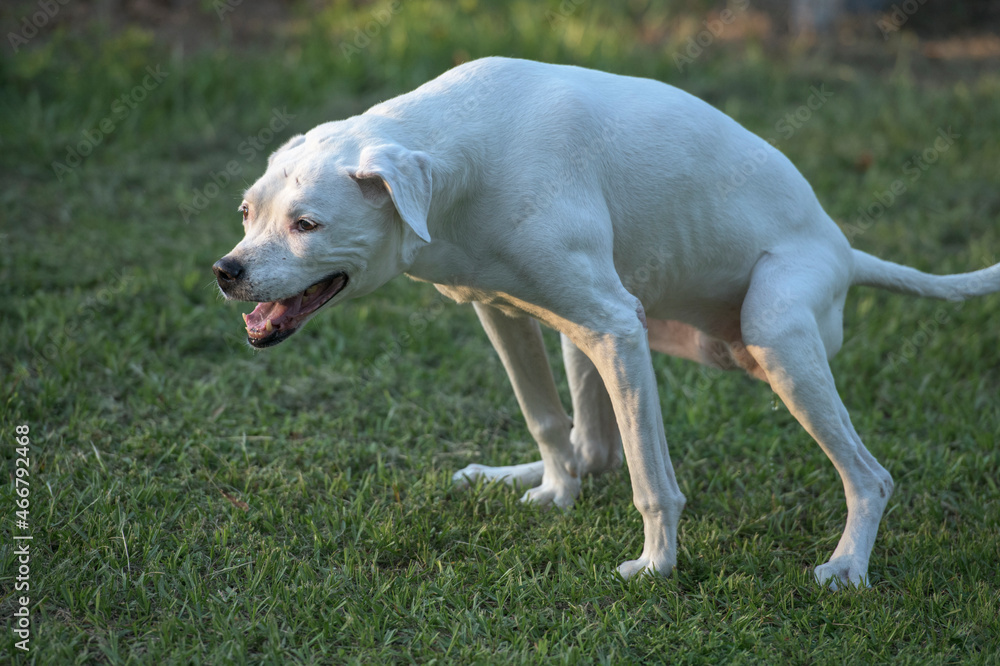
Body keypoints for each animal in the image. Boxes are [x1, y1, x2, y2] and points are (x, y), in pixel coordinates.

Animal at [213, 57, 999, 589]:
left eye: (307, 224)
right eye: (247, 213)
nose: (226, 270)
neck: (460, 160)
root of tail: (845, 250)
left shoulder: (618, 328)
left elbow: (653, 479)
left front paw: (656, 567)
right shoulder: (505, 315)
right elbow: (546, 420)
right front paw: (552, 496)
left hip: (774, 334)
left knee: (869, 476)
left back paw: (847, 564)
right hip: (584, 337)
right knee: (592, 448)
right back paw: (517, 474)